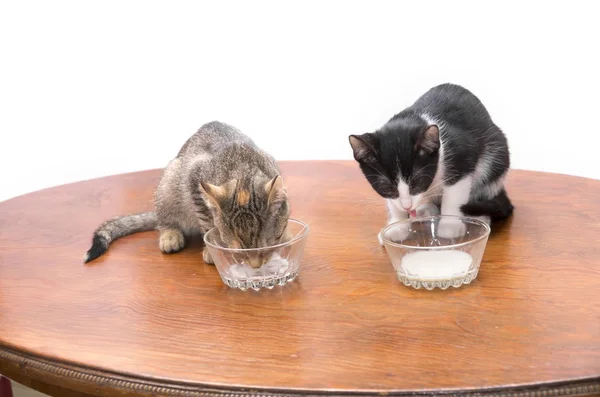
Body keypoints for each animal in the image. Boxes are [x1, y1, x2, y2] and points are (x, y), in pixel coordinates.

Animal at [84, 120, 290, 266]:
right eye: (238, 249)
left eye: (270, 243)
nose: (255, 266)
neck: (242, 169)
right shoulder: (194, 180)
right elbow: (207, 223)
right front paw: (213, 249)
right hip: (170, 181)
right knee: (164, 219)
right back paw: (169, 235)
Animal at [350, 83, 512, 241]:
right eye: (386, 187)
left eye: (418, 182)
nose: (407, 206)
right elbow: (392, 202)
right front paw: (397, 226)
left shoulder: (462, 154)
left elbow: (455, 192)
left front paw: (450, 225)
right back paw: (425, 210)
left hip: (496, 158)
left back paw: (479, 217)